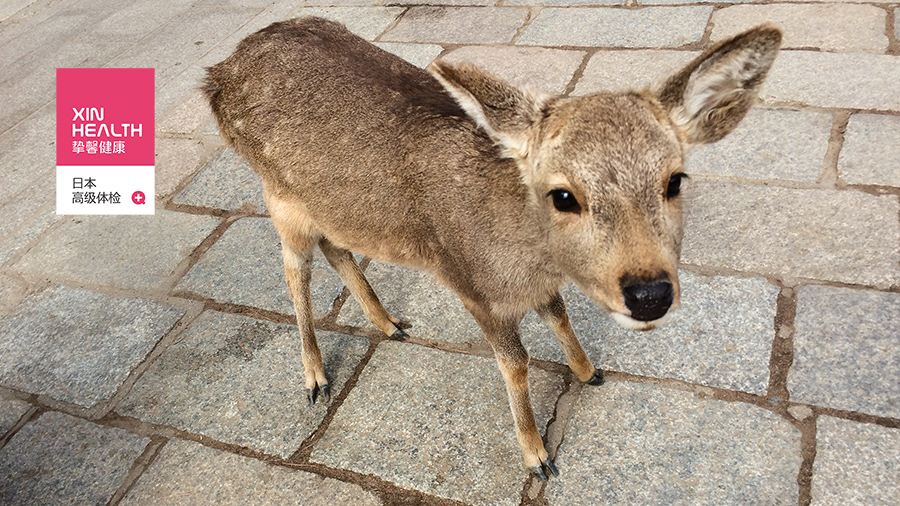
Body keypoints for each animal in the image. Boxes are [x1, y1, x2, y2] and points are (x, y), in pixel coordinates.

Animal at [204, 16, 780, 478]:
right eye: (563, 194)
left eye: (675, 180)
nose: (649, 293)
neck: (523, 257)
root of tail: (218, 74)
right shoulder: (472, 286)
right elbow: (516, 363)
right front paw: (538, 456)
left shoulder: (535, 288)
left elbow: (558, 313)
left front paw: (588, 372)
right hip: (280, 196)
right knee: (293, 269)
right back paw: (316, 378)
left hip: (330, 207)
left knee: (337, 249)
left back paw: (388, 324)